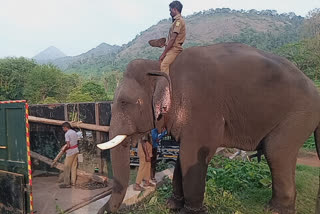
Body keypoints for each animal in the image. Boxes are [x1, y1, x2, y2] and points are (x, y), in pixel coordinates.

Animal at [97, 42, 320, 213]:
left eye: (125, 102)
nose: (103, 210)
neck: (161, 66)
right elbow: (182, 157)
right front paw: (172, 205)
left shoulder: (202, 106)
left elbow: (193, 154)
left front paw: (191, 211)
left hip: (298, 115)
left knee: (276, 151)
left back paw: (275, 210)